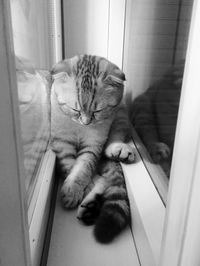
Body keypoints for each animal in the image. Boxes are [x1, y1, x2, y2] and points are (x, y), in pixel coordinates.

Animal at [50, 54, 135, 243]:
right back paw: (91, 204)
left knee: (114, 139)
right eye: (75, 109)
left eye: (98, 111)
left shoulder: (93, 145)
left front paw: (74, 188)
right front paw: (75, 189)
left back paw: (118, 150)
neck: (79, 128)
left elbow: (83, 167)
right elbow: (71, 166)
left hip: (121, 115)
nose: (86, 122)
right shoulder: (62, 144)